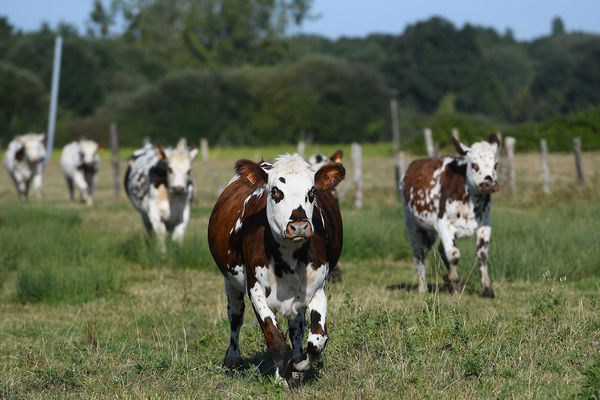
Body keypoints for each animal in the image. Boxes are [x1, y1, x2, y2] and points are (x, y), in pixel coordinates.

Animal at [207, 153, 344, 384]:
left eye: (312, 192)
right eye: (276, 192)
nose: (299, 226)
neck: (288, 255)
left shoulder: (317, 288)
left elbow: (317, 340)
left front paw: (299, 364)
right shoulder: (255, 290)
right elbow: (275, 338)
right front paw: (280, 381)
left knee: (296, 327)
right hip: (230, 283)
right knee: (235, 317)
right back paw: (232, 360)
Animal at [404, 134, 502, 296]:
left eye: (495, 165)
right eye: (474, 165)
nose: (490, 184)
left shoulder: (485, 225)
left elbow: (482, 256)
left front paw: (487, 289)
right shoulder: (443, 224)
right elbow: (454, 255)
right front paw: (454, 279)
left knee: (440, 249)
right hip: (413, 225)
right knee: (419, 255)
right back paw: (423, 288)